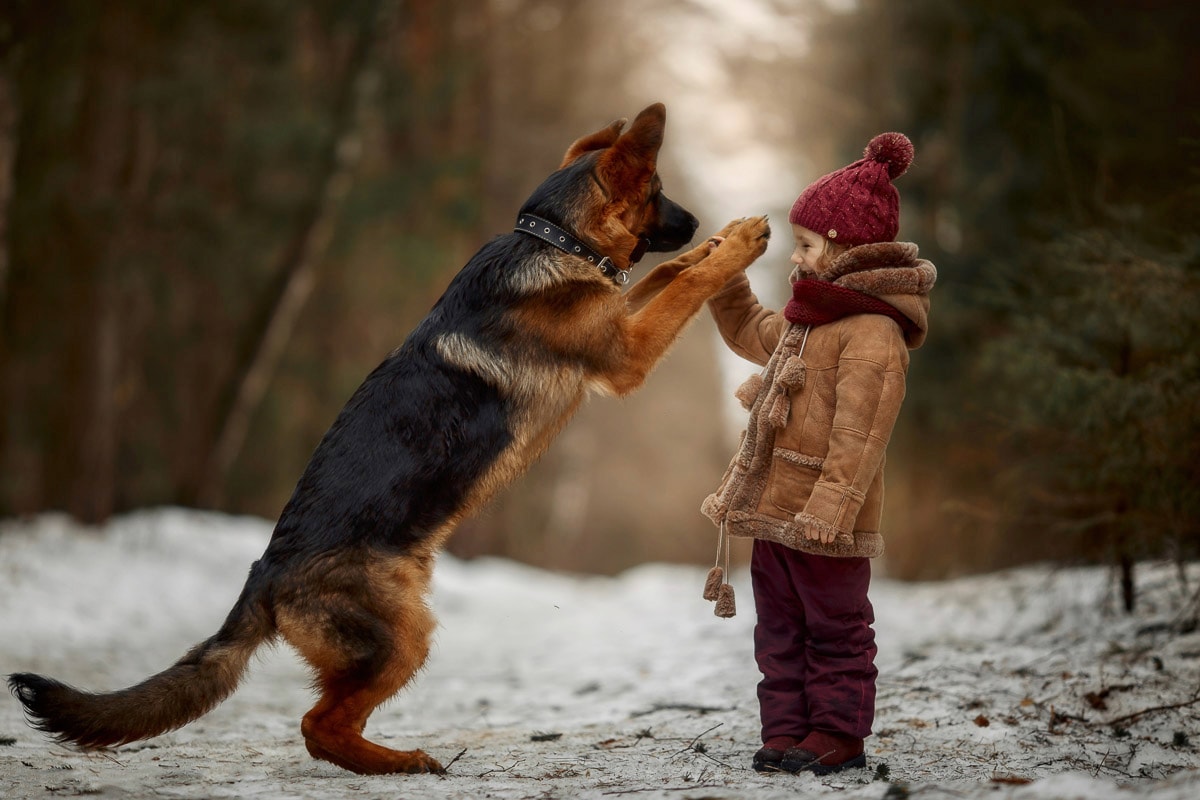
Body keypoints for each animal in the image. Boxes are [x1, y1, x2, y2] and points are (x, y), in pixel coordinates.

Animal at [7, 103, 768, 772]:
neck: (551, 238)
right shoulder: (627, 355)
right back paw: (402, 763)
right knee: (317, 726)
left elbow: (661, 275)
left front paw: (711, 245)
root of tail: (265, 574)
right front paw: (732, 246)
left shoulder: (619, 321)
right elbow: (679, 286)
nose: (697, 219)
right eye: (659, 193)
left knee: (326, 722)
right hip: (403, 636)